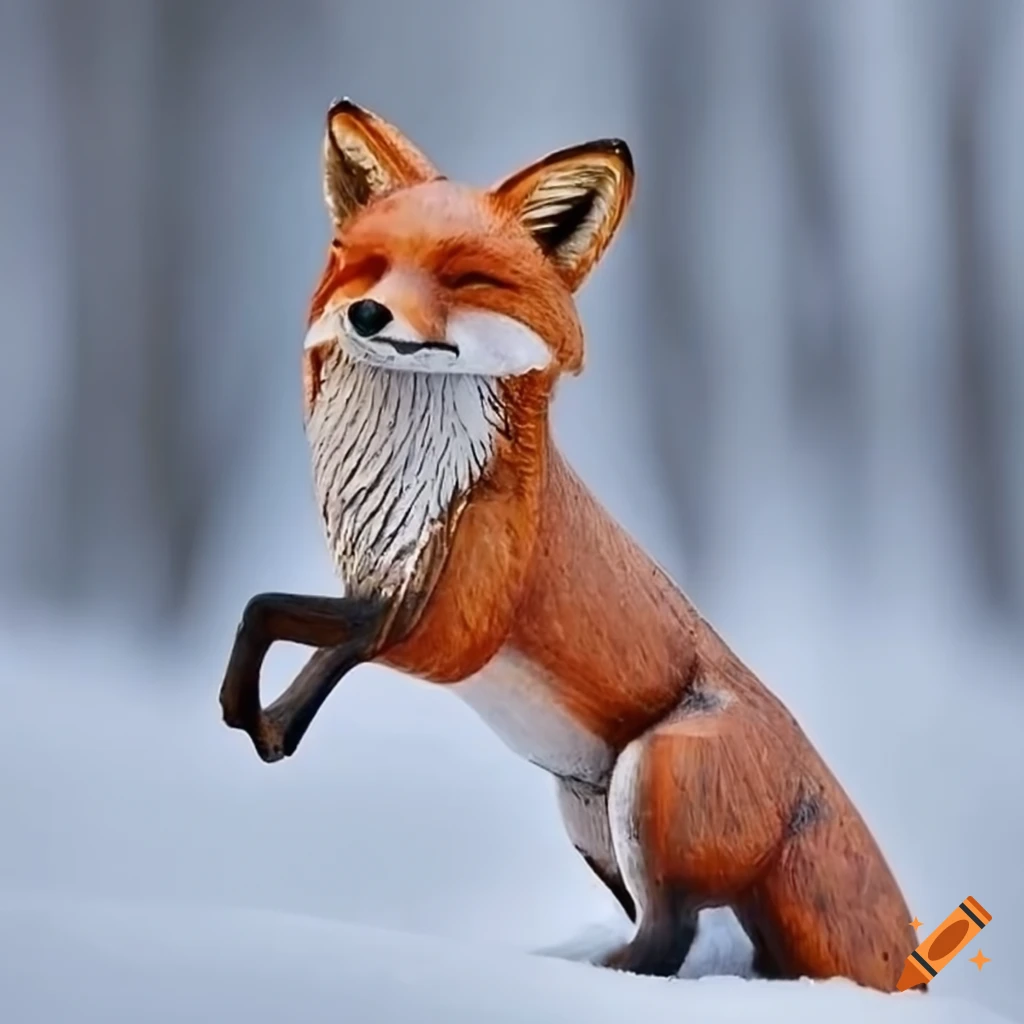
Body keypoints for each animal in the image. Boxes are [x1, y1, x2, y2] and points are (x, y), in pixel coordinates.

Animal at [219, 98, 919, 991]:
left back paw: (579, 973)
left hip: (648, 792)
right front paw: (261, 719)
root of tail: (809, 769)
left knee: (668, 936)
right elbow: (278, 625)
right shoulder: (386, 588)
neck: (417, 473)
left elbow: (286, 617)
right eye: (366, 265)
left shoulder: (443, 627)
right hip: (589, 824)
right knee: (706, 941)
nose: (365, 315)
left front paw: (263, 719)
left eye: (466, 279)